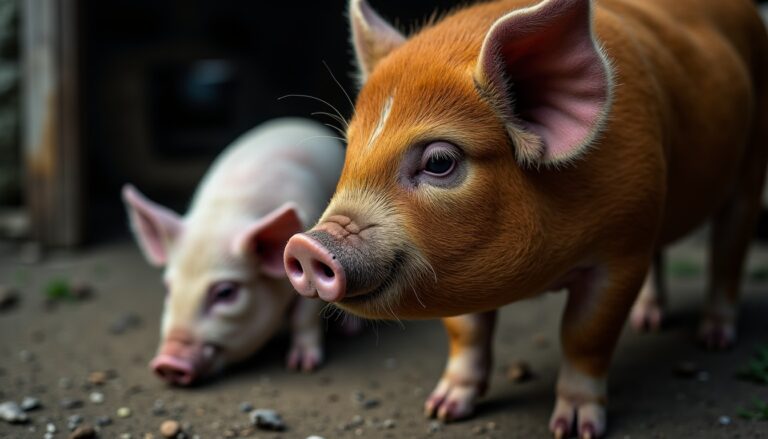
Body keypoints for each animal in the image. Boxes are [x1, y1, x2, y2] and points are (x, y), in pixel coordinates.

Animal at [123, 118, 344, 385]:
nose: (167, 363)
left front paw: (302, 366)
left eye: (226, 292)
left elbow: (304, 317)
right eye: (167, 288)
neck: (228, 211)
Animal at [282, 0, 768, 437]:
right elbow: (467, 332)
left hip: (749, 171)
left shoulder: (622, 248)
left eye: (439, 161)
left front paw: (574, 429)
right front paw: (442, 409)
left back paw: (713, 339)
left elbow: (585, 334)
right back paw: (647, 321)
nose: (306, 245)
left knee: (729, 252)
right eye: (351, 148)